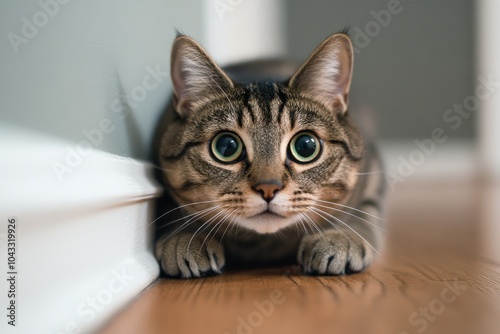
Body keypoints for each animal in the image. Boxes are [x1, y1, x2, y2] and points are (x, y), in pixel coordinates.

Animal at [154, 31, 384, 278]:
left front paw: (339, 237)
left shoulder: (374, 176)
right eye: (226, 146)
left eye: (306, 146)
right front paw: (184, 238)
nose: (268, 188)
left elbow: (365, 213)